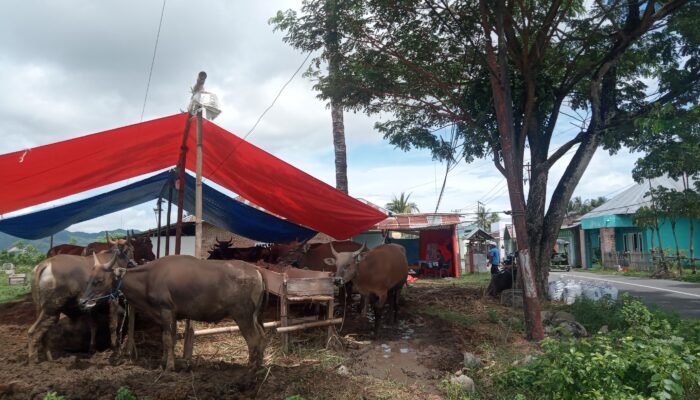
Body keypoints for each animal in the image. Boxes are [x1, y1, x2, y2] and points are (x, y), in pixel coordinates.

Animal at [79, 255, 268, 374]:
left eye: (98, 280)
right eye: (88, 280)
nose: (82, 301)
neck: (148, 279)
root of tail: (255, 269)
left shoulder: (166, 310)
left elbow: (167, 339)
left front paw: (170, 367)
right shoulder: (173, 314)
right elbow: (170, 338)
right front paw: (165, 362)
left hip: (242, 315)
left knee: (253, 339)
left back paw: (250, 369)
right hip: (255, 316)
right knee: (262, 336)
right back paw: (260, 366)